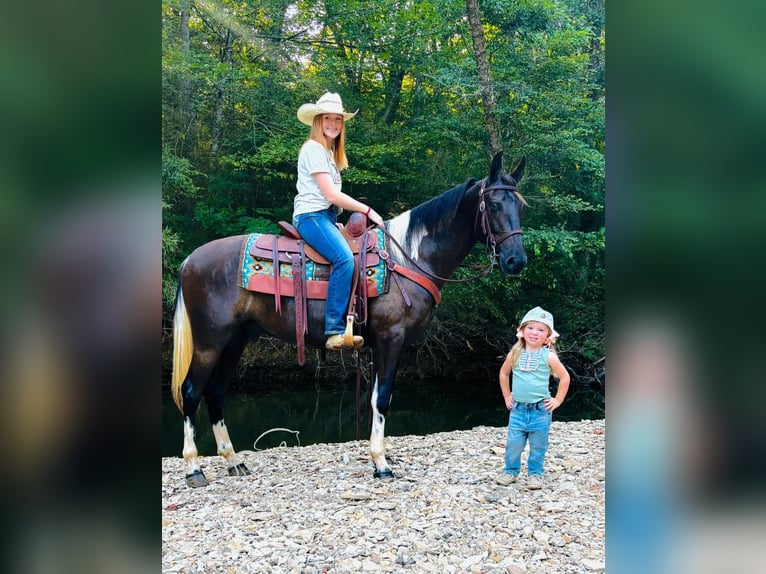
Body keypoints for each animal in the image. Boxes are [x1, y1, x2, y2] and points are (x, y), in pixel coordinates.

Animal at [171, 151, 528, 488]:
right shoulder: (391, 339)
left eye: (519, 205)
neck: (408, 258)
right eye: (494, 203)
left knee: (215, 391)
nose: (516, 261)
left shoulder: (380, 344)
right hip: (209, 342)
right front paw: (381, 463)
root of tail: (190, 259)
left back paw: (233, 460)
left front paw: (379, 457)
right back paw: (194, 468)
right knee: (191, 391)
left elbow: (375, 397)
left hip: (235, 339)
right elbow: (382, 399)